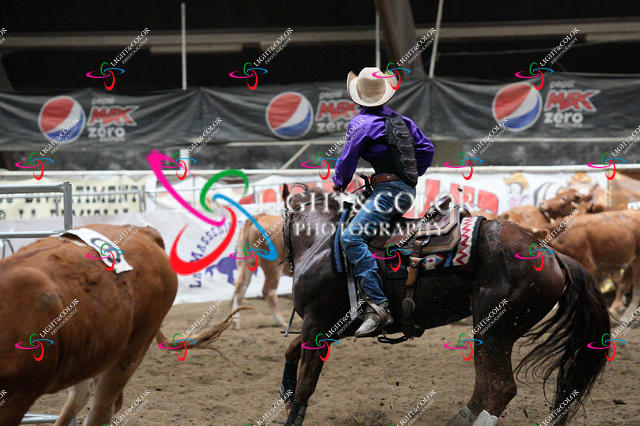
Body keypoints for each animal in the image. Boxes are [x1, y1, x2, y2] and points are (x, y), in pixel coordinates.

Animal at [0, 224, 240, 425]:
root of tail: (144, 232)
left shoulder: (17, 398)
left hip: (133, 347)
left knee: (102, 408)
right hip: (93, 350)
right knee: (83, 395)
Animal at [278, 184, 609, 426]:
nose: (286, 264)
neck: (323, 243)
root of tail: (552, 254)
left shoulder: (317, 324)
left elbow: (307, 381)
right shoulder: (331, 328)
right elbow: (291, 351)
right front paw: (284, 392)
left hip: (496, 330)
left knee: (500, 388)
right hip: (488, 331)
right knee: (485, 385)